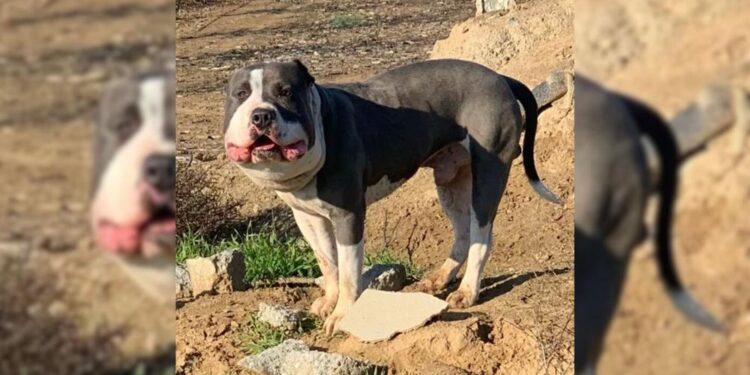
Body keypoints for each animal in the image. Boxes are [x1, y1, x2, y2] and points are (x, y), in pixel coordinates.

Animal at [222, 59, 560, 334]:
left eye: (285, 92)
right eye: (240, 94)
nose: (261, 116)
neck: (321, 121)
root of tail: (499, 77)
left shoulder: (348, 216)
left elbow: (348, 272)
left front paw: (342, 314)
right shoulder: (308, 217)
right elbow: (328, 263)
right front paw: (329, 301)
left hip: (489, 171)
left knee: (481, 237)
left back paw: (467, 291)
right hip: (451, 180)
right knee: (463, 232)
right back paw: (440, 277)